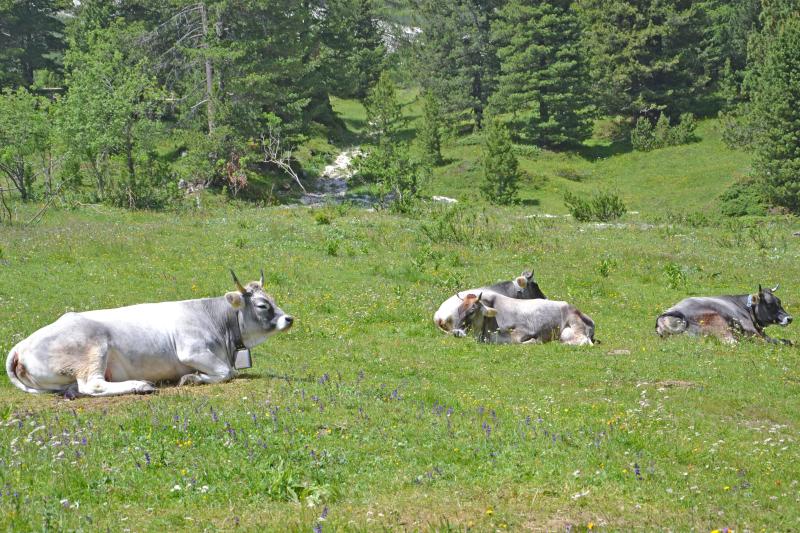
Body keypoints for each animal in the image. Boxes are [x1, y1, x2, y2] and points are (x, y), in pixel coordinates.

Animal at [450, 290, 592, 344]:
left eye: (472, 311)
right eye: (458, 310)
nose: (456, 332)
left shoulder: (523, 330)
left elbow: (516, 340)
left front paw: (534, 340)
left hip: (572, 328)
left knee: (583, 340)